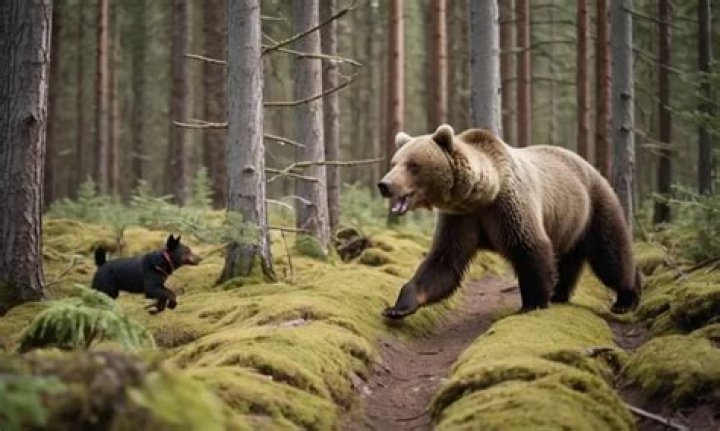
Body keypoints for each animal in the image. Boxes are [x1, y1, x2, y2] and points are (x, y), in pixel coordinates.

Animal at [377, 124, 640, 319]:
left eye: (412, 165)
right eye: (394, 163)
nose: (384, 184)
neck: (480, 195)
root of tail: (591, 166)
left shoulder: (507, 207)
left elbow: (529, 247)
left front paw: (533, 302)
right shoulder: (461, 219)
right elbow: (443, 261)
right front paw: (398, 306)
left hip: (594, 207)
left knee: (610, 254)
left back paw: (627, 297)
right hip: (568, 223)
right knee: (568, 259)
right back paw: (560, 293)